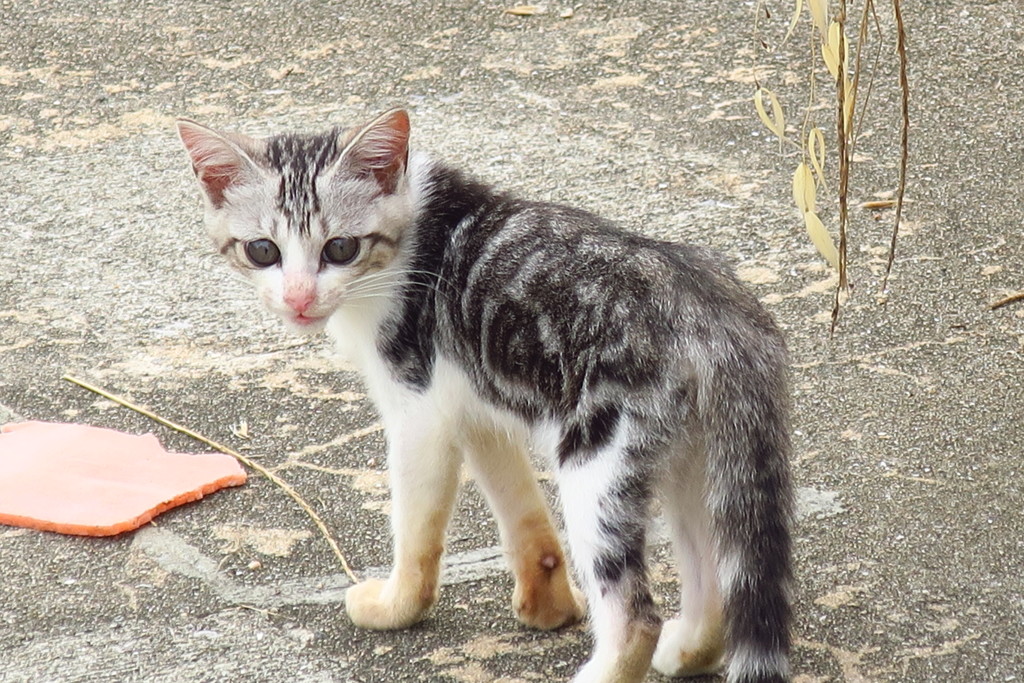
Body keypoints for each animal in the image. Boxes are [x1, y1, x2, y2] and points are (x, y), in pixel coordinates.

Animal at [180, 109, 794, 679]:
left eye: (341, 248)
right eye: (263, 251)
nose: (300, 299)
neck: (412, 235)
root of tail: (705, 303)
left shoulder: (419, 413)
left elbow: (417, 531)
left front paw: (398, 606)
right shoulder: (475, 407)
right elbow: (522, 513)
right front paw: (549, 606)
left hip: (598, 462)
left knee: (636, 614)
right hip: (696, 460)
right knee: (716, 570)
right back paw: (690, 648)